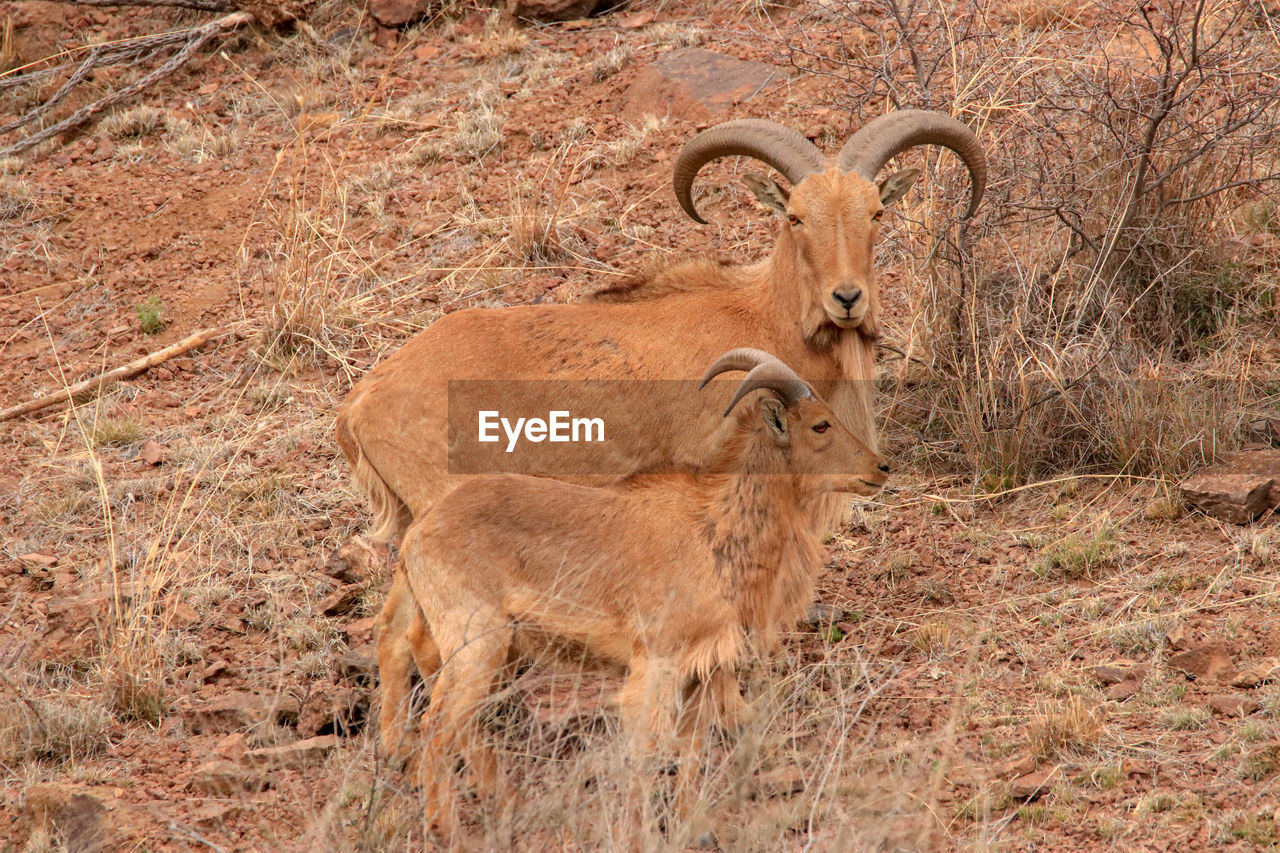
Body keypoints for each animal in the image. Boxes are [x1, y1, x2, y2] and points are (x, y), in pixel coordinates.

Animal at [386, 348, 890, 840]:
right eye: (820, 424)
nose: (880, 467)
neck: (715, 531)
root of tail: (417, 536)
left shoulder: (702, 667)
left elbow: (692, 746)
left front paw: (692, 826)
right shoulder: (656, 663)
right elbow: (645, 754)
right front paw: (636, 833)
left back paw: (505, 804)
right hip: (477, 644)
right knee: (438, 725)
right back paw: (445, 829)